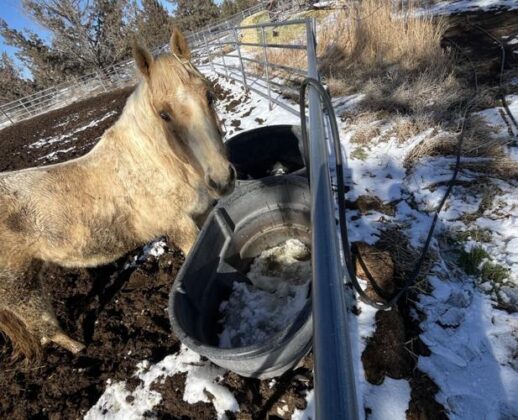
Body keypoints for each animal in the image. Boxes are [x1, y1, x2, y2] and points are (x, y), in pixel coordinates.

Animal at [0, 29, 236, 358]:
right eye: (164, 115)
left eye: (209, 96)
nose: (221, 179)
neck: (156, 162)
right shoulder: (180, 227)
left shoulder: (202, 215)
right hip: (20, 289)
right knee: (43, 326)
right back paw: (81, 350)